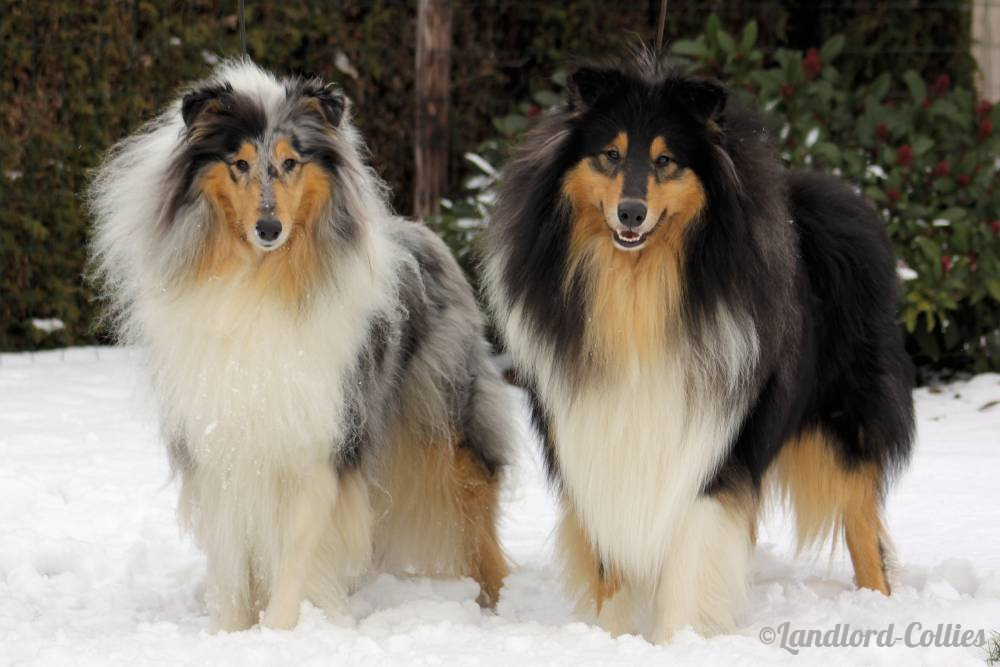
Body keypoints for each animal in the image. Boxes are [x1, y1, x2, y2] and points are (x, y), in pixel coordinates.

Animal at [88, 60, 510, 631]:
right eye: (240, 164)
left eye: (290, 162)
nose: (269, 228)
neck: (259, 282)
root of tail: (427, 234)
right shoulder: (221, 444)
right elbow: (230, 566)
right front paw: (230, 633)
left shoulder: (318, 439)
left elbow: (297, 555)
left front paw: (281, 631)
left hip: (447, 423)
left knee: (478, 512)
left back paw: (494, 604)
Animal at [481, 50, 914, 641]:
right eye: (610, 154)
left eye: (665, 161)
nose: (631, 213)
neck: (637, 292)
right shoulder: (597, 439)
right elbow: (612, 565)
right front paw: (614, 640)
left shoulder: (709, 439)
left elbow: (691, 560)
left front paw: (677, 642)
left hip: (845, 421)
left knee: (861, 522)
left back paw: (877, 606)